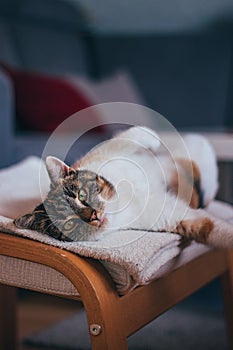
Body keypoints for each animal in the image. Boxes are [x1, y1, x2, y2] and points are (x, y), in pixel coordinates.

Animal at [14, 124, 224, 245]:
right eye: (69, 224)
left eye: (81, 196)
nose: (94, 216)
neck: (124, 200)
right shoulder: (172, 216)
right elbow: (211, 227)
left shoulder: (103, 154)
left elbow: (124, 138)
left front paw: (152, 138)